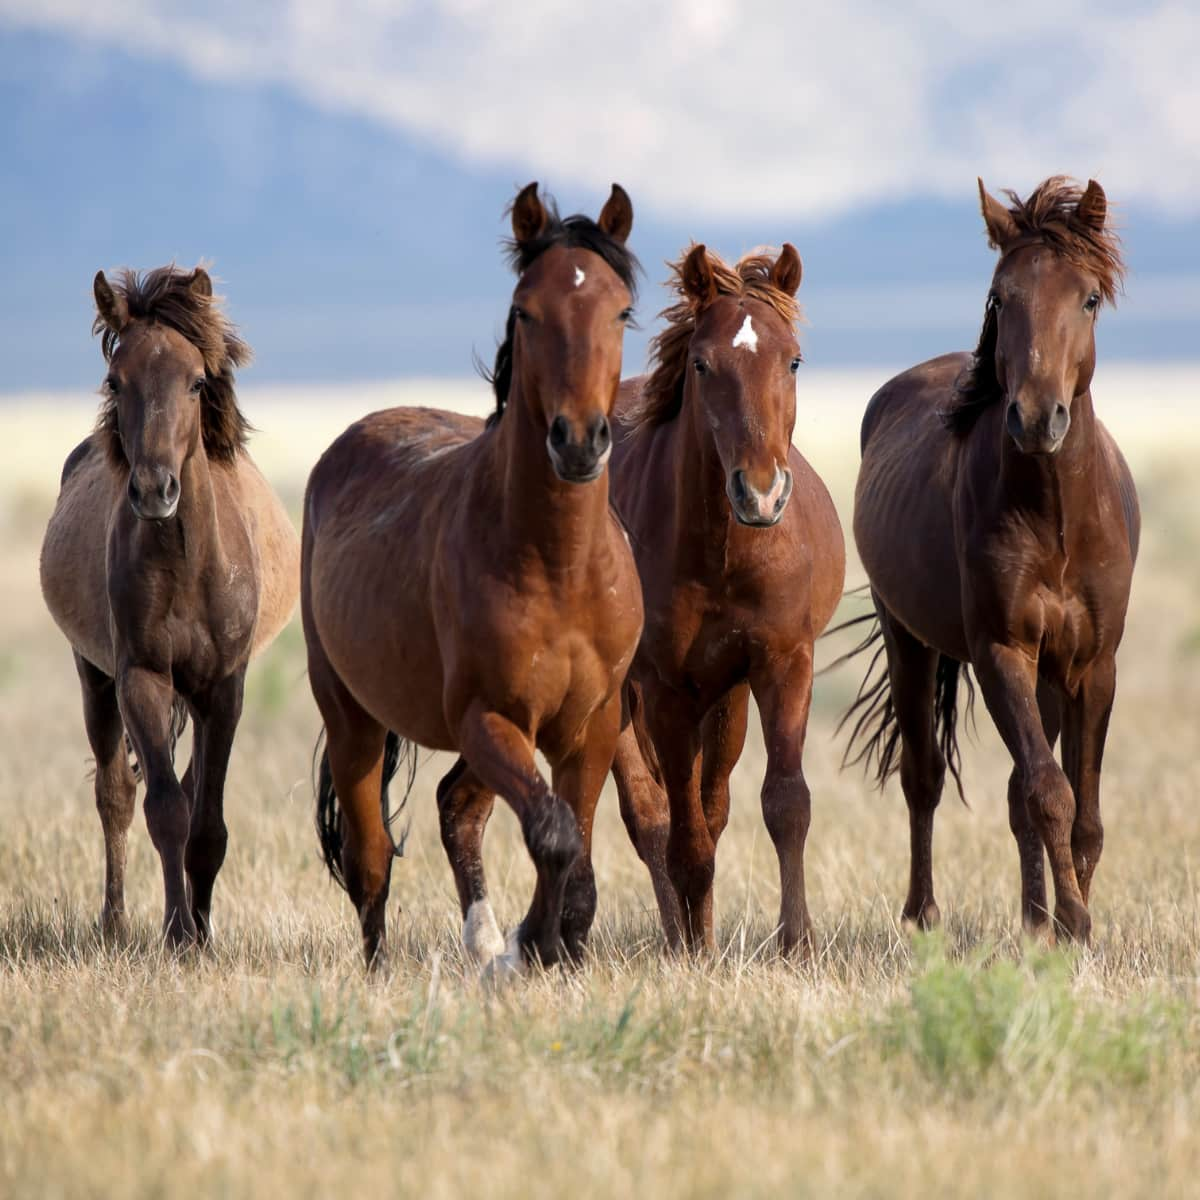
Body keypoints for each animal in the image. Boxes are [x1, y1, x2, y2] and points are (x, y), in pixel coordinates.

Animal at [38, 267, 300, 950]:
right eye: (115, 380)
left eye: (197, 381)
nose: (155, 490)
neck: (185, 564)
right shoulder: (142, 678)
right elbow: (164, 811)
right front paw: (179, 935)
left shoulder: (222, 689)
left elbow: (206, 821)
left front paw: (200, 931)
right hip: (94, 678)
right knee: (117, 795)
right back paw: (116, 923)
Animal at [307, 184, 648, 974]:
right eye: (526, 311)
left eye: (621, 311)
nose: (578, 441)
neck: (559, 566)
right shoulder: (489, 717)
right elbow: (554, 833)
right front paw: (536, 945)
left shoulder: (591, 724)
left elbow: (576, 845)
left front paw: (551, 944)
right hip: (351, 719)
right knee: (372, 860)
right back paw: (389, 969)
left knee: (456, 807)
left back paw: (487, 942)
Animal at [604, 246, 849, 955]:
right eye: (702, 364)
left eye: (792, 359)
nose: (761, 494)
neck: (722, 554)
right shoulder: (664, 690)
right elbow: (681, 836)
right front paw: (692, 955)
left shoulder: (782, 664)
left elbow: (785, 804)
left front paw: (797, 943)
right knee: (653, 816)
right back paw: (681, 940)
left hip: (727, 699)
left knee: (710, 809)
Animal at [840, 177, 1137, 940]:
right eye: (1001, 298)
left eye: (1088, 298)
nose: (1035, 418)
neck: (1056, 517)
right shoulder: (1002, 651)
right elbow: (1049, 791)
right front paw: (1073, 923)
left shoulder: (1092, 665)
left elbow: (1083, 811)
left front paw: (1068, 919)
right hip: (909, 640)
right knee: (923, 778)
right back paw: (924, 914)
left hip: (1048, 674)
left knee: (1010, 792)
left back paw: (1030, 920)